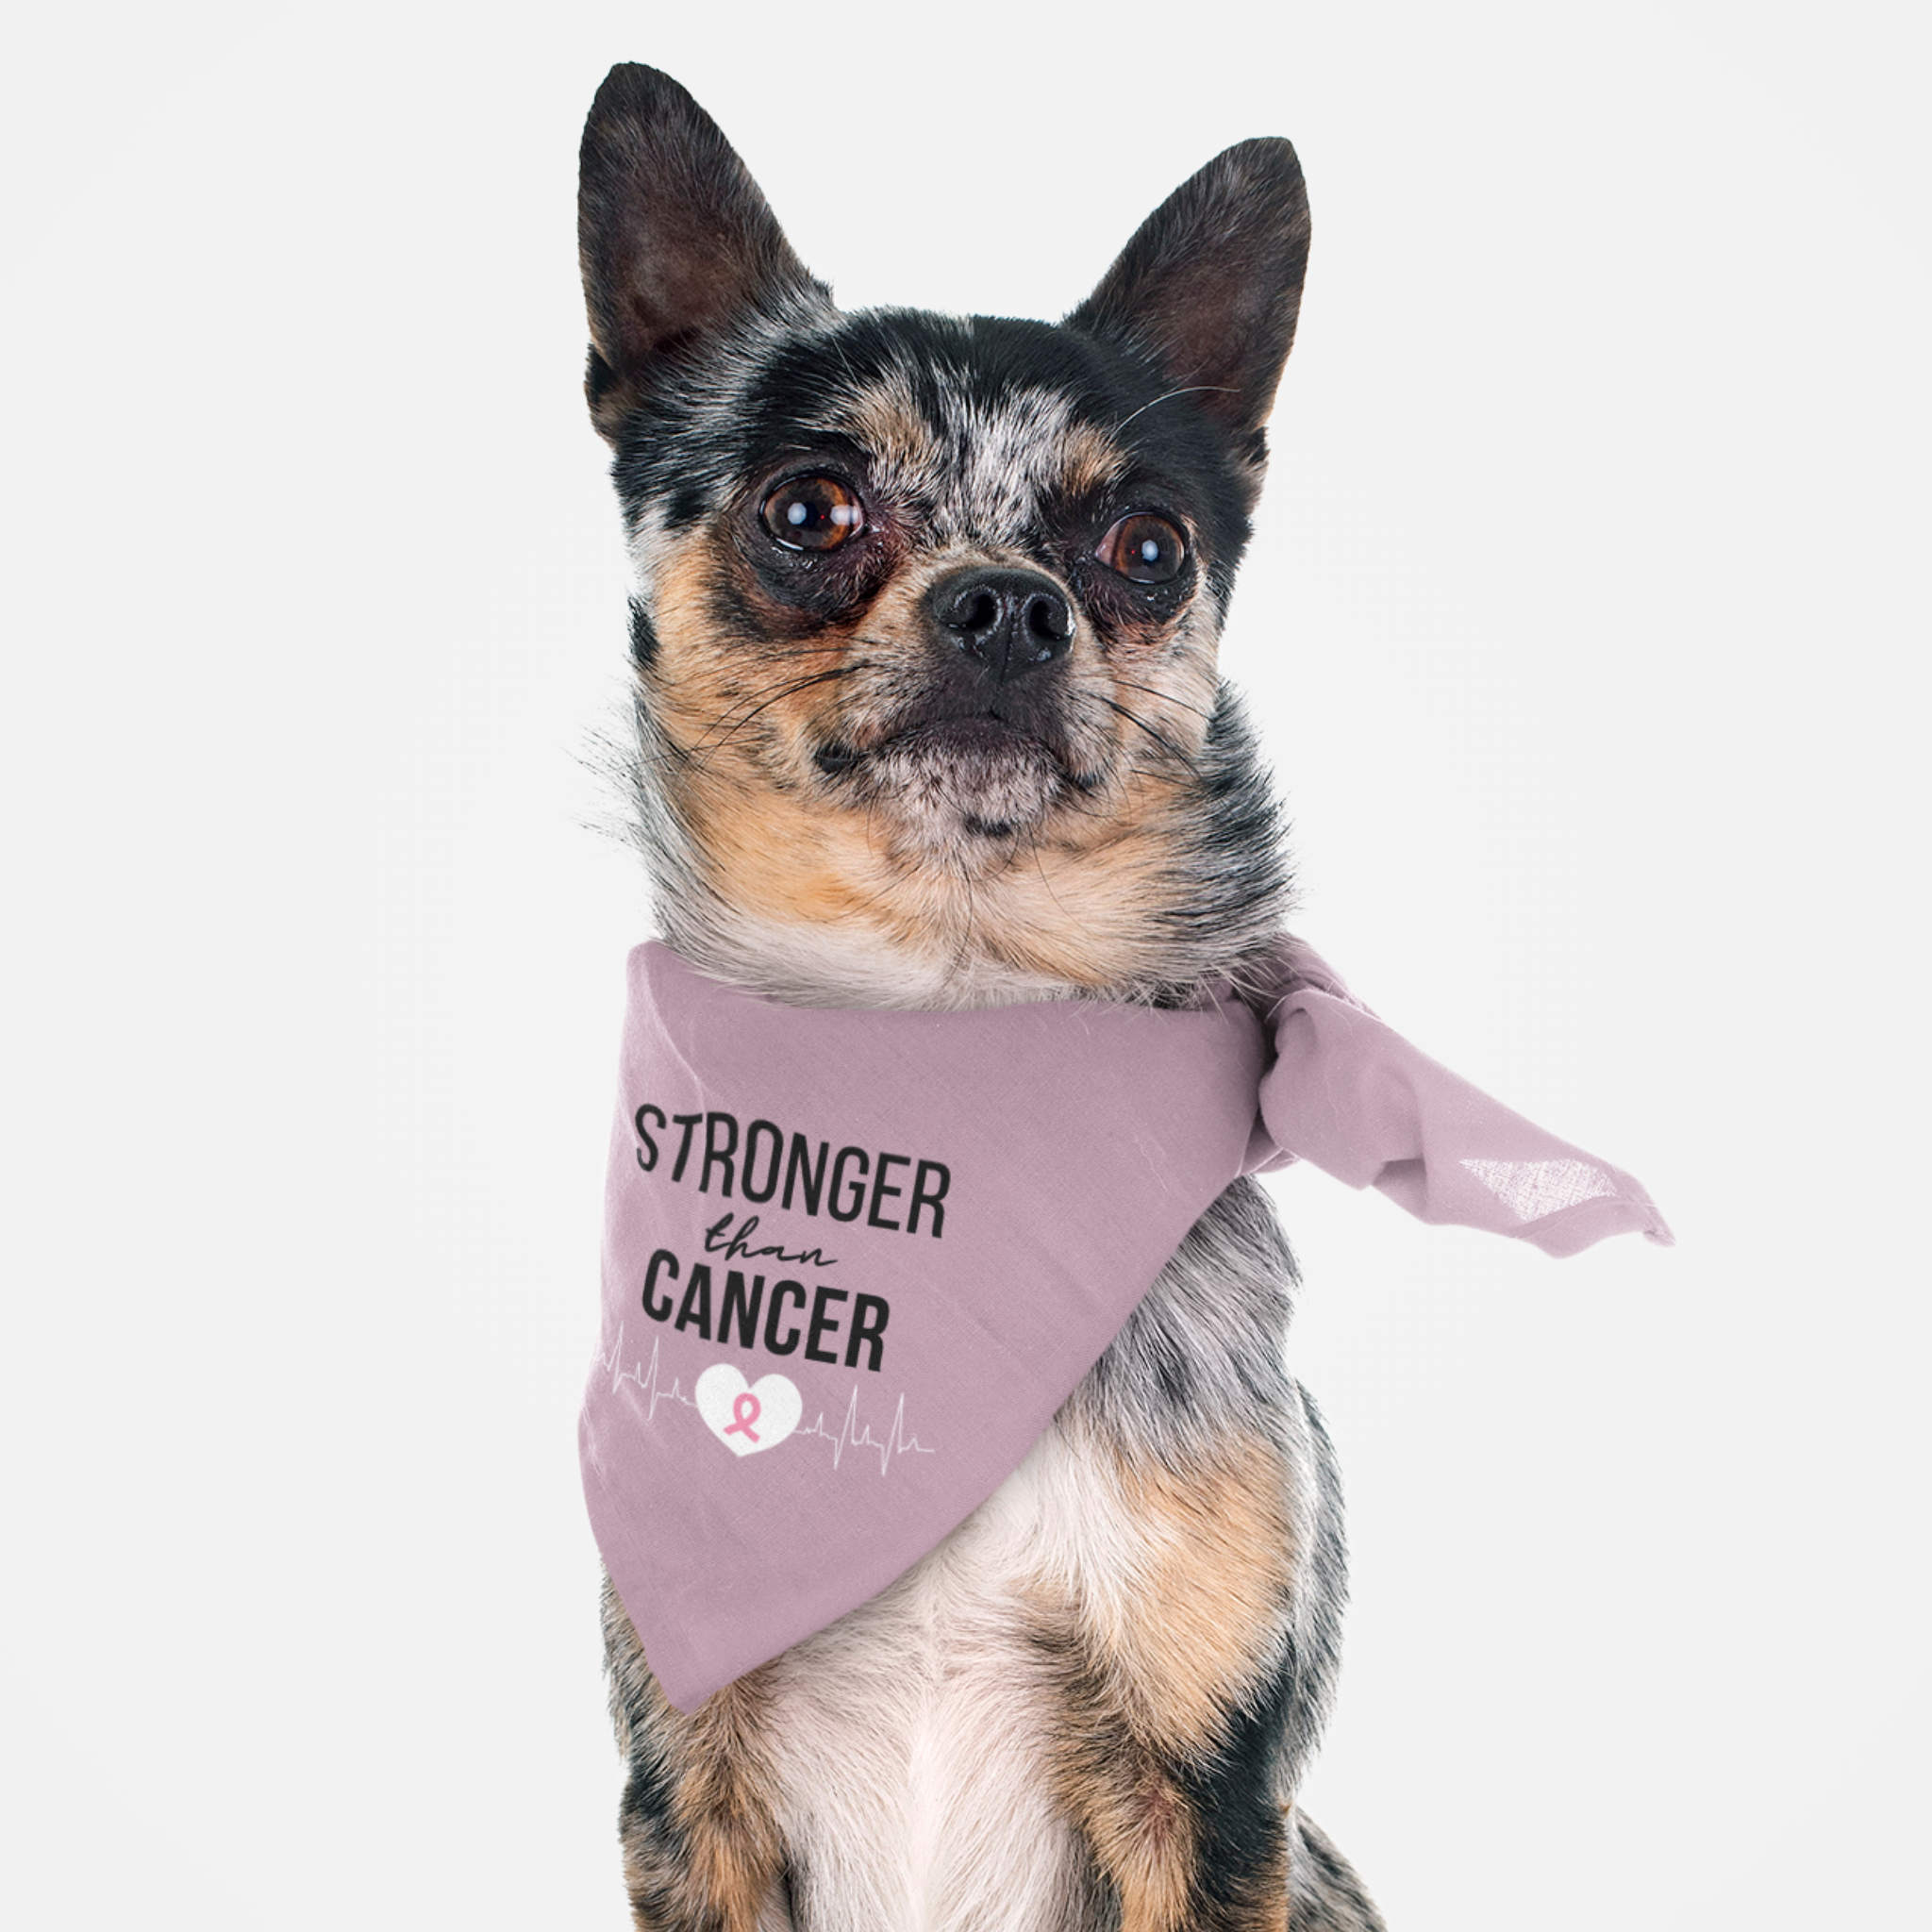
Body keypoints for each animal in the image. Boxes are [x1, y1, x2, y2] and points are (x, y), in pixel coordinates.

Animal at [575, 60, 1391, 1932]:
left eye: (1146, 546)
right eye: (810, 510)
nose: (1009, 603)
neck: (947, 1044)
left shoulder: (1211, 1793)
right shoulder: (685, 1789)